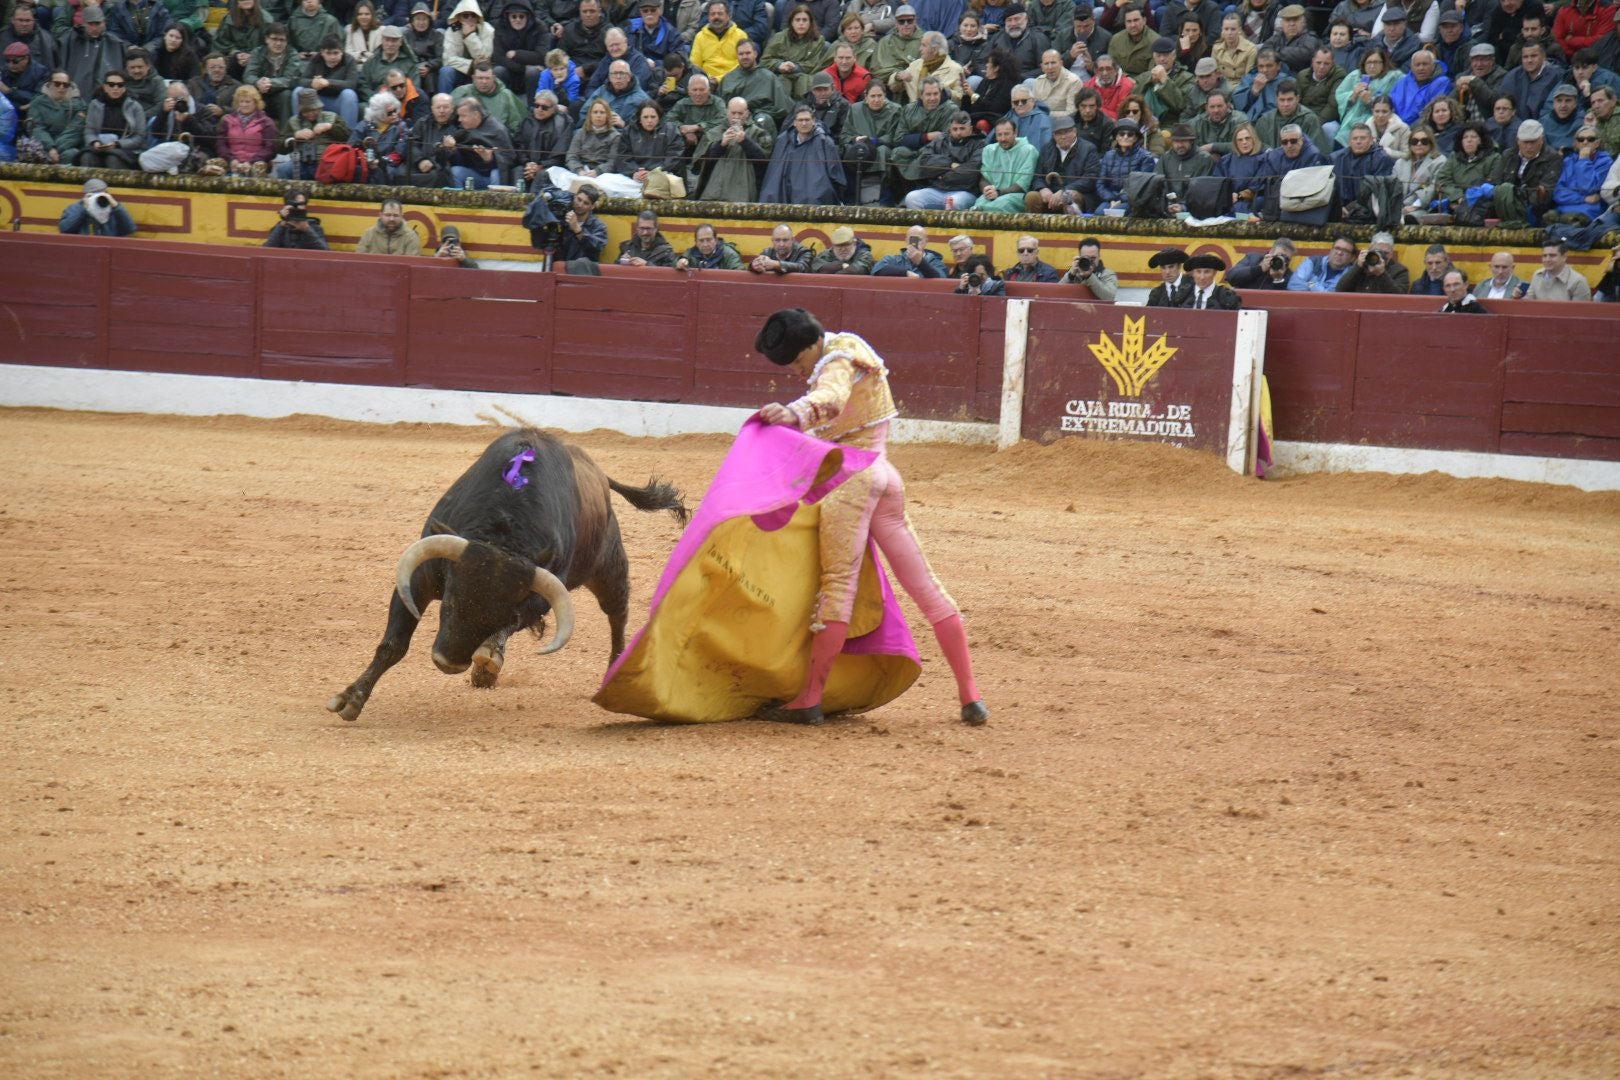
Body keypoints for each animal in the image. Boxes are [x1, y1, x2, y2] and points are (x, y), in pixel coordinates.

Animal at [325, 427, 686, 722]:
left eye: (499, 614)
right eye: (450, 602)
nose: (448, 663)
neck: (504, 525)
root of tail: (598, 473)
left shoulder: (539, 596)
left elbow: (511, 624)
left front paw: (488, 657)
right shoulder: (419, 578)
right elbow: (393, 644)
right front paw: (350, 699)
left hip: (609, 566)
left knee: (617, 615)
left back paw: (613, 673)